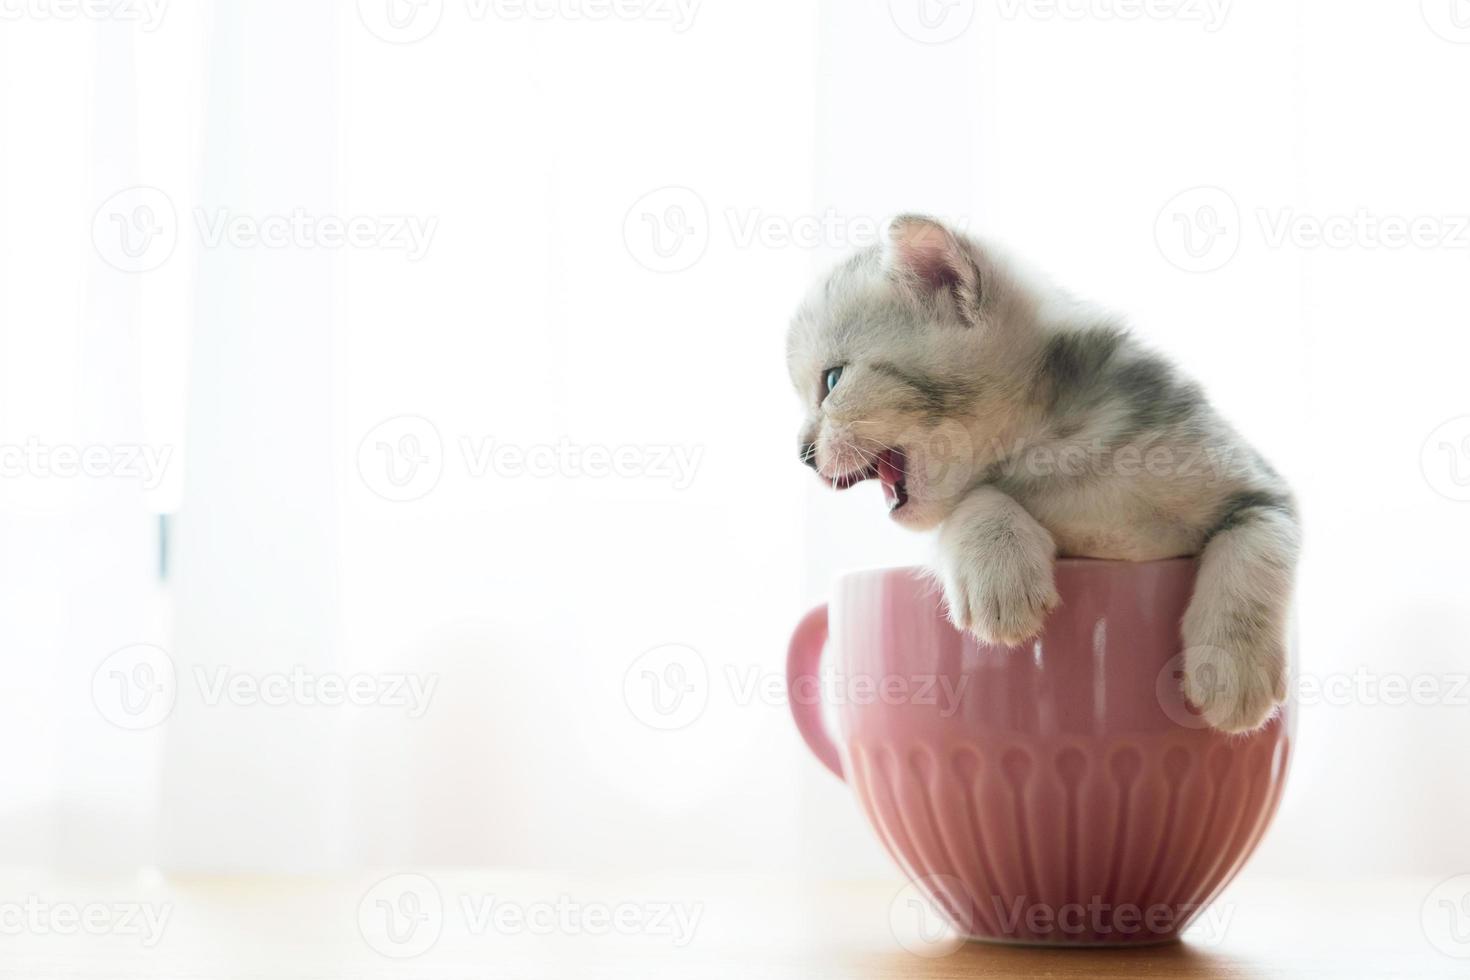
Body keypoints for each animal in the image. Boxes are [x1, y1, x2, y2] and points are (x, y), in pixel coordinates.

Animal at [787, 215, 1305, 734]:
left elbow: (1256, 543)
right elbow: (972, 499)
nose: (803, 453)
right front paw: (1000, 568)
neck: (1055, 450)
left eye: (832, 381)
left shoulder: (1258, 484)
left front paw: (1233, 663)